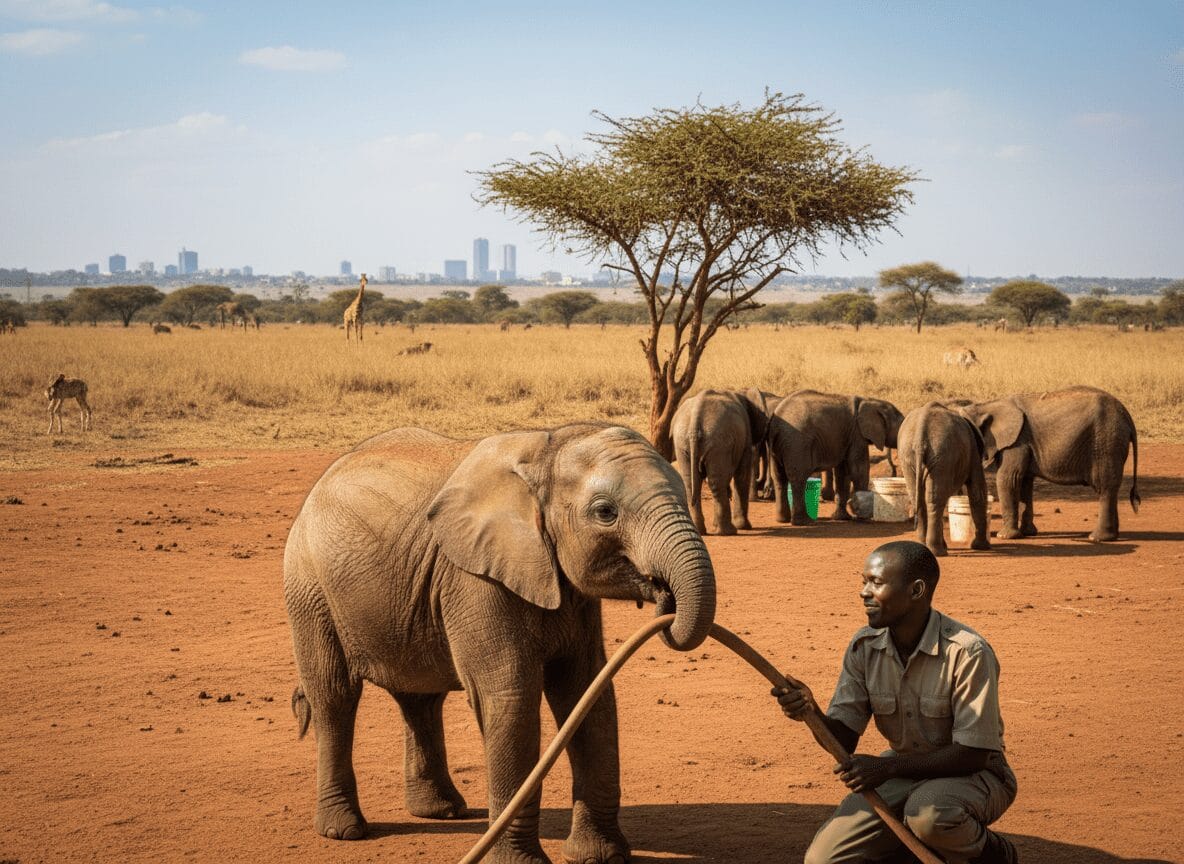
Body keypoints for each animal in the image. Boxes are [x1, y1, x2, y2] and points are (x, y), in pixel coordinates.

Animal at [283, 423, 716, 864]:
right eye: (605, 512)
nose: (664, 596)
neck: (544, 453)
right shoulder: (475, 579)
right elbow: (512, 696)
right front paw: (523, 863)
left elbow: (586, 692)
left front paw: (599, 857)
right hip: (309, 588)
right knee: (334, 697)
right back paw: (344, 831)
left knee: (420, 699)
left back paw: (442, 811)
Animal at [671, 388, 770, 534]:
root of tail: (696, 414)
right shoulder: (745, 437)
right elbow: (742, 476)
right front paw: (745, 527)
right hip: (719, 441)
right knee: (716, 482)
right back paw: (728, 531)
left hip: (682, 441)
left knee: (690, 483)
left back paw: (701, 530)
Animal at [767, 390, 905, 525]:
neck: (869, 400)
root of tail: (775, 423)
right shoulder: (857, 434)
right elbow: (858, 469)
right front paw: (863, 517)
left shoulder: (847, 436)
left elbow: (843, 473)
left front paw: (842, 518)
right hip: (797, 443)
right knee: (798, 478)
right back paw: (805, 522)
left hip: (777, 446)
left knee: (779, 478)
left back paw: (783, 520)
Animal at [897, 401, 991, 556]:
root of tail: (921, 433)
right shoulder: (973, 452)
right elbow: (978, 491)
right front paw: (981, 547)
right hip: (941, 452)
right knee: (935, 500)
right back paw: (938, 551)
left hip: (910, 454)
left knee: (920, 498)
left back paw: (925, 546)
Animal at [959, 386, 1139, 541]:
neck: (985, 406)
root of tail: (1126, 415)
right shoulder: (1024, 444)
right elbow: (1024, 482)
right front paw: (1028, 533)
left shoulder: (1017, 441)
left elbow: (1008, 478)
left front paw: (1005, 536)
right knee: (1111, 489)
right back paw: (1112, 536)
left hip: (1106, 442)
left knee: (1105, 488)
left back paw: (1097, 538)